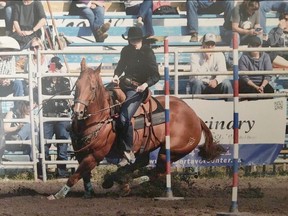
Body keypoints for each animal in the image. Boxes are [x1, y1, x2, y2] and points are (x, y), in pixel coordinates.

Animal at [47, 58, 225, 200]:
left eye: (92, 88)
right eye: (77, 85)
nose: (78, 111)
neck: (100, 117)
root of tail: (195, 117)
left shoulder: (96, 155)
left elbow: (75, 175)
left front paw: (58, 195)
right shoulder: (80, 153)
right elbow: (84, 175)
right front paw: (88, 192)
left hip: (171, 151)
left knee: (157, 172)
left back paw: (126, 184)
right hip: (148, 147)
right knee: (142, 163)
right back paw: (115, 179)